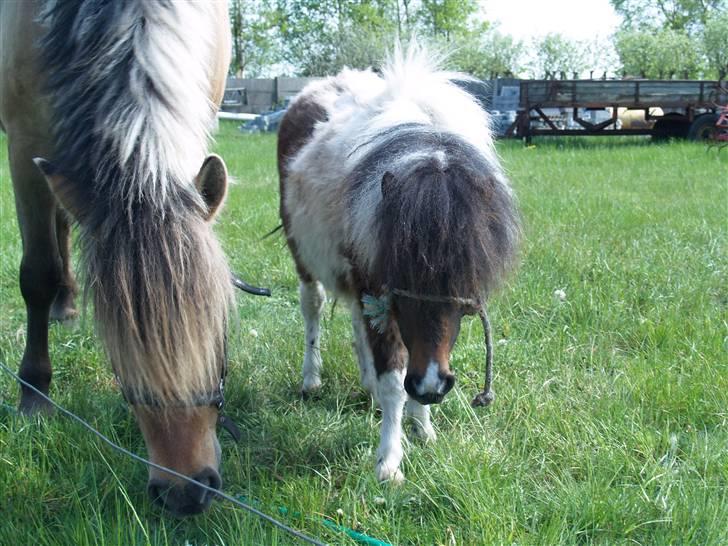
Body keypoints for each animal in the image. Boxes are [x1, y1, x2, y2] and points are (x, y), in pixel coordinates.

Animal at [0, 0, 233, 515]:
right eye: (120, 351)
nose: (184, 492)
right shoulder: (24, 140)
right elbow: (37, 273)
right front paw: (34, 396)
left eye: (217, 332)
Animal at [278, 46, 521, 482]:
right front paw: (389, 461)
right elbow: (395, 375)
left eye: (466, 273)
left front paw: (423, 427)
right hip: (303, 257)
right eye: (403, 272)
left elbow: (412, 358)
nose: (433, 388)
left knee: (356, 324)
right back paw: (311, 379)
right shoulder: (379, 291)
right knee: (313, 309)